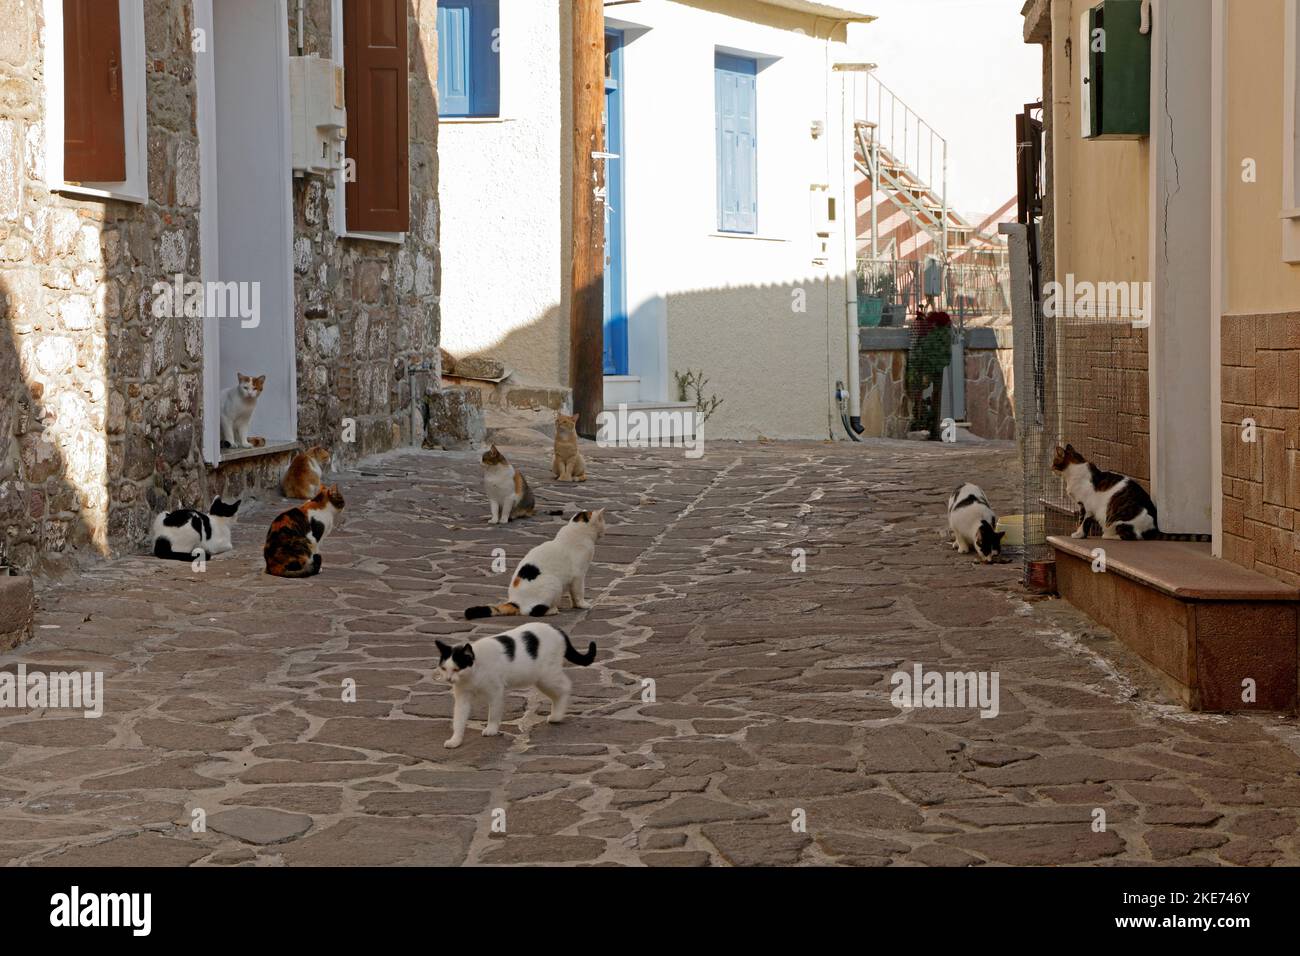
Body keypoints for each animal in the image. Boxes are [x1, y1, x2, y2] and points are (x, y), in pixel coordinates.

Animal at [436, 624, 598, 749]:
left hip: (547, 676)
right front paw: (455, 740)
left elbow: (493, 713)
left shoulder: (495, 692)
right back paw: (556, 715)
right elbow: (459, 719)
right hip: (541, 679)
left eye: (457, 669)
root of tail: (556, 629)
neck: (473, 673)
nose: (448, 679)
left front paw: (491, 729)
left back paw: (557, 716)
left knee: (566, 686)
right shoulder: (462, 697)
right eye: (444, 668)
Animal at [465, 509, 605, 621]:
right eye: (603, 522)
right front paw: (582, 605)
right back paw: (552, 610)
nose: (605, 531)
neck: (577, 531)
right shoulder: (578, 575)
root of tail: (514, 601)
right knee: (533, 612)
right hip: (553, 582)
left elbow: (572, 595)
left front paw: (575, 605)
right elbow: (578, 592)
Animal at [1045, 444, 1206, 541]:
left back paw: (1108, 536)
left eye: (1054, 462)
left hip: (1119, 521)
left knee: (1131, 536)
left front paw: (1078, 534)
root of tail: (1154, 528)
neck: (1074, 471)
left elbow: (1082, 522)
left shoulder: (1085, 507)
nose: (1050, 468)